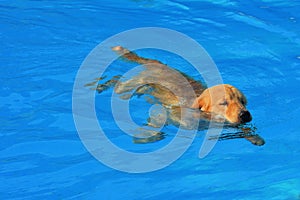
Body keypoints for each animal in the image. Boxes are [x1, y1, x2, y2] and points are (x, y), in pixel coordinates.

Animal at [89, 45, 264, 145]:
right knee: (118, 80)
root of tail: (159, 63)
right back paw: (100, 85)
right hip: (134, 83)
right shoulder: (174, 112)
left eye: (243, 102)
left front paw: (255, 138)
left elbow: (244, 129)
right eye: (223, 103)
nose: (245, 114)